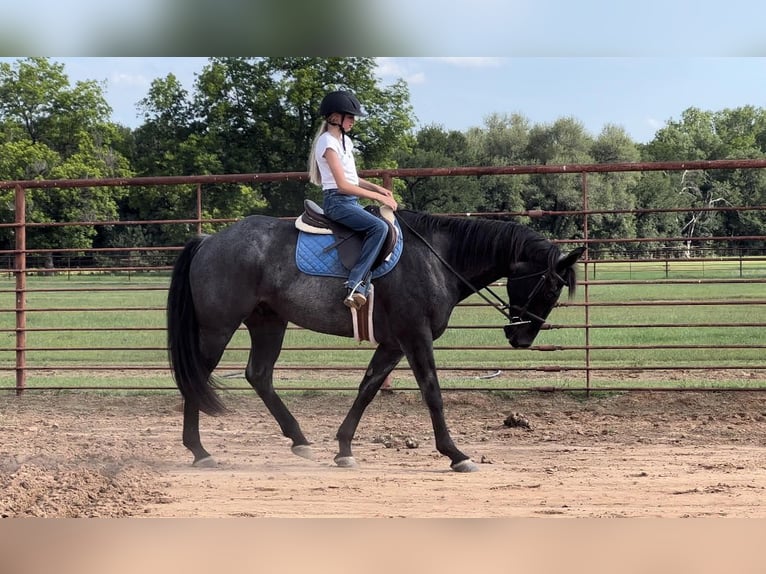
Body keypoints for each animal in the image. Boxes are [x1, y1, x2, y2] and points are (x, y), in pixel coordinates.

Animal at [168, 209, 584, 474]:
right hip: (218, 328)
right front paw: (454, 454)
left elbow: (367, 388)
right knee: (197, 379)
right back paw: (199, 450)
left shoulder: (394, 344)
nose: (521, 336)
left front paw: (344, 447)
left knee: (259, 375)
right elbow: (432, 392)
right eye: (550, 287)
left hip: (268, 322)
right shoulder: (415, 337)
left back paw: (299, 439)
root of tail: (209, 239)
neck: (437, 258)